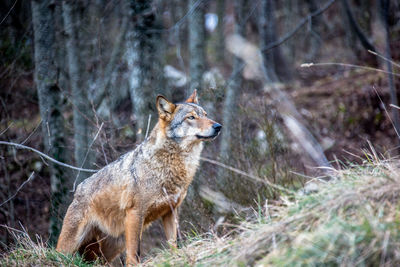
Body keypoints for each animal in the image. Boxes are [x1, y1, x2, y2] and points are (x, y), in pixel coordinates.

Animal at [56, 90, 222, 266]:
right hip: (70, 246)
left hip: (108, 250)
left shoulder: (170, 212)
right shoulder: (135, 213)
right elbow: (134, 252)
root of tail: (78, 189)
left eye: (206, 115)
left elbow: (173, 243)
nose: (218, 126)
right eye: (191, 117)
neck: (170, 164)